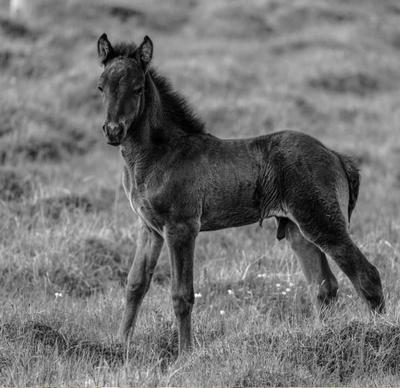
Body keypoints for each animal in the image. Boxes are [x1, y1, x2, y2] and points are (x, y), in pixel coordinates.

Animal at [96, 34, 384, 354]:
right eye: (101, 87)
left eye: (138, 88)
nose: (113, 131)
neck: (160, 153)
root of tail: (335, 156)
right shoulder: (149, 228)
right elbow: (135, 284)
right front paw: (120, 346)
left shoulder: (181, 228)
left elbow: (181, 294)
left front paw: (185, 355)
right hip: (298, 229)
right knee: (323, 286)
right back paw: (322, 338)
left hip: (324, 224)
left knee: (367, 276)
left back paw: (378, 333)